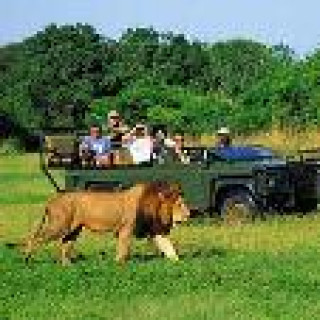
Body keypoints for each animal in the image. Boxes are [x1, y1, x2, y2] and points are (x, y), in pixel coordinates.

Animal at [25, 181, 190, 264]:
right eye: (179, 204)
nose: (189, 214)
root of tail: (51, 200)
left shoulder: (156, 231)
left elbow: (169, 248)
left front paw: (179, 264)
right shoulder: (126, 229)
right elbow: (124, 249)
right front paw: (119, 264)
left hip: (73, 230)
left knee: (65, 244)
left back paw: (67, 265)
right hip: (59, 226)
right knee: (35, 237)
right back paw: (27, 259)